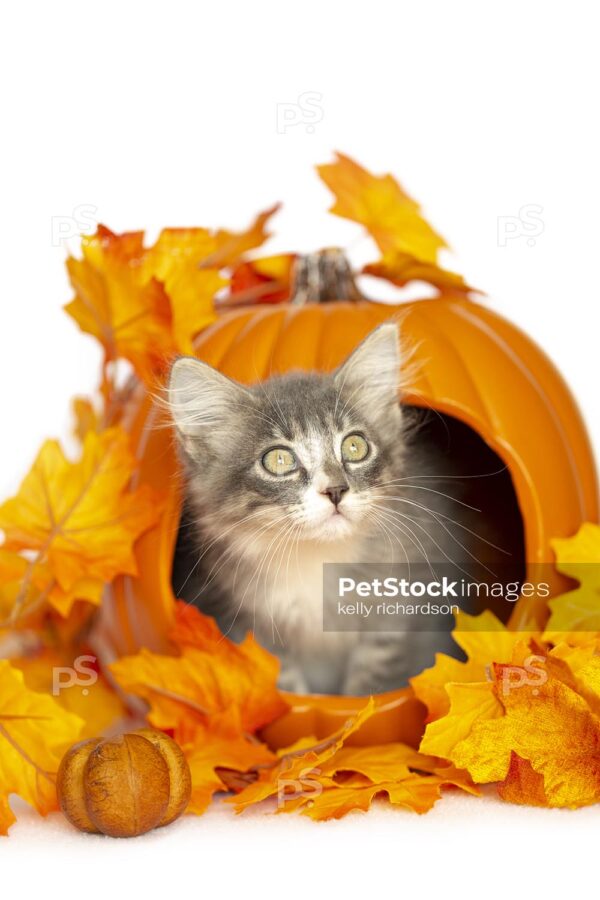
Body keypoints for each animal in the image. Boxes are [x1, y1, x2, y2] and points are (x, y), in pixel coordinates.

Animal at [166, 326, 516, 696]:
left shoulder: (394, 615)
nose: (335, 490)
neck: (316, 562)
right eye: (279, 459)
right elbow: (285, 687)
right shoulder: (248, 627)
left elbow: (370, 686)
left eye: (354, 446)